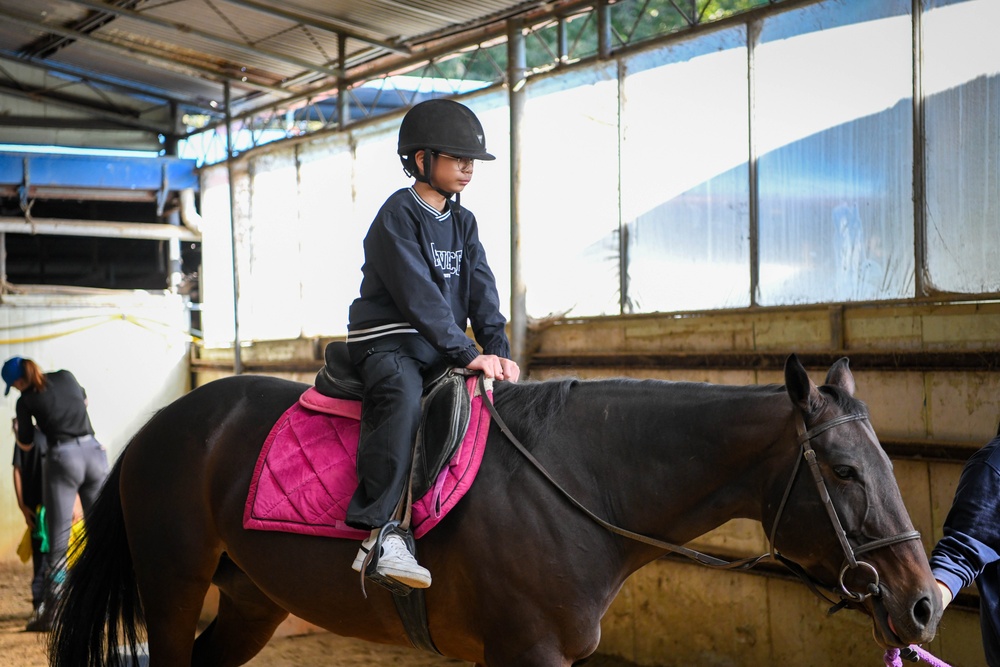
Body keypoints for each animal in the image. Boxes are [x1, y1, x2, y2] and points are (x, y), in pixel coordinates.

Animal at [45, 352, 936, 664]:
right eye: (845, 470)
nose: (923, 602)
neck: (582, 482)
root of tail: (162, 424)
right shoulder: (526, 653)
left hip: (250, 600)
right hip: (172, 585)